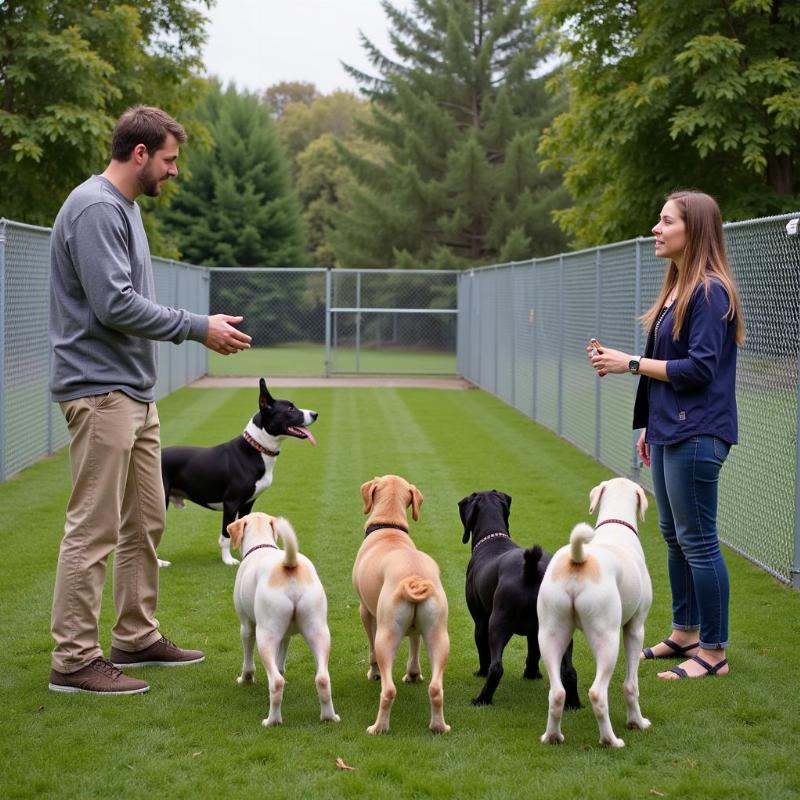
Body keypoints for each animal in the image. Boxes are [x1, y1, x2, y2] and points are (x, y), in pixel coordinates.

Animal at [160, 378, 318, 564]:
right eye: (290, 409)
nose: (315, 414)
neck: (256, 449)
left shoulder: (247, 504)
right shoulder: (231, 503)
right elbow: (226, 536)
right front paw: (228, 560)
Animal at [228, 510, 338, 728]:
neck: (261, 545)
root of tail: (289, 564)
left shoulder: (246, 626)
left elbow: (248, 660)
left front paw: (246, 679)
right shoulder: (286, 635)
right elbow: (280, 662)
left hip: (266, 635)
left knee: (276, 683)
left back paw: (272, 721)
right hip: (318, 630)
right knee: (323, 678)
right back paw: (329, 716)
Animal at [354, 472, 450, 736]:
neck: (389, 527)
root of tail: (414, 578)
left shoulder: (365, 611)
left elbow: (370, 649)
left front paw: (374, 673)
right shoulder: (417, 628)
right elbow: (414, 643)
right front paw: (413, 674)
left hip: (387, 634)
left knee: (388, 689)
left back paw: (378, 727)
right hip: (439, 634)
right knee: (436, 689)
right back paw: (439, 726)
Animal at [456, 488, 580, 708]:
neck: (493, 538)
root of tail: (531, 570)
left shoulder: (480, 621)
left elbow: (482, 650)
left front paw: (480, 672)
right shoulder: (535, 631)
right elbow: (533, 651)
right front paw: (531, 674)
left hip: (497, 624)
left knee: (496, 667)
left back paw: (482, 699)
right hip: (559, 628)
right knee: (569, 671)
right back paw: (573, 704)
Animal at [536, 478, 648, 748]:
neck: (616, 525)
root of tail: (579, 559)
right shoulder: (635, 629)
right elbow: (631, 686)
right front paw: (637, 722)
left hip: (550, 635)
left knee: (557, 693)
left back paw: (552, 736)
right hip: (607, 640)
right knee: (598, 693)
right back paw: (610, 740)